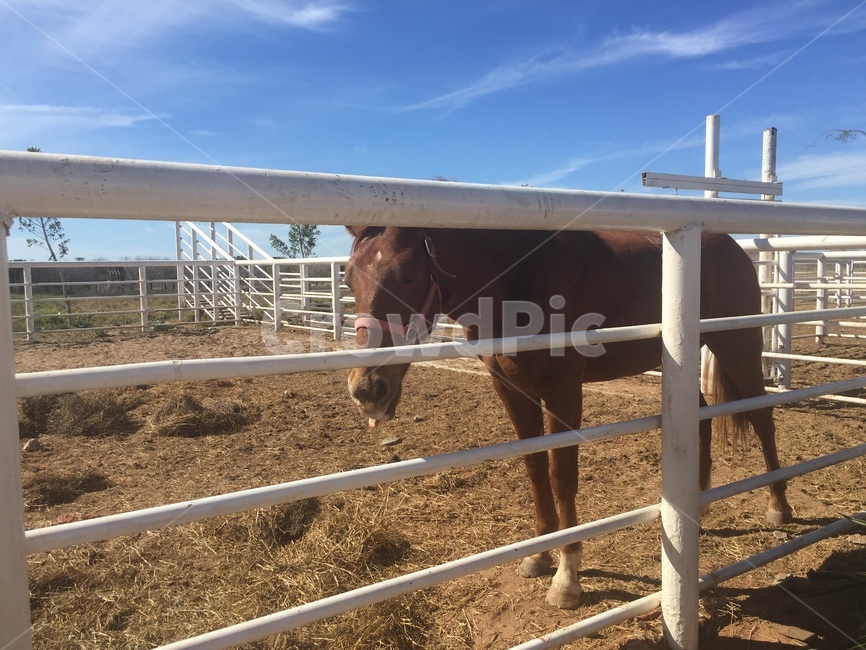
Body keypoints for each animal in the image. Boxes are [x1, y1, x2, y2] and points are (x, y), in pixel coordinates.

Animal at [343, 225, 792, 609]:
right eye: (348, 278)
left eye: (408, 276)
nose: (367, 389)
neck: (519, 278)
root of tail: (732, 246)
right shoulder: (511, 389)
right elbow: (535, 466)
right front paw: (539, 556)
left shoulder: (563, 391)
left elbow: (562, 475)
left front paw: (567, 577)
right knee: (700, 420)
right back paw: (698, 507)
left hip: (737, 344)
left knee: (761, 417)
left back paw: (778, 504)